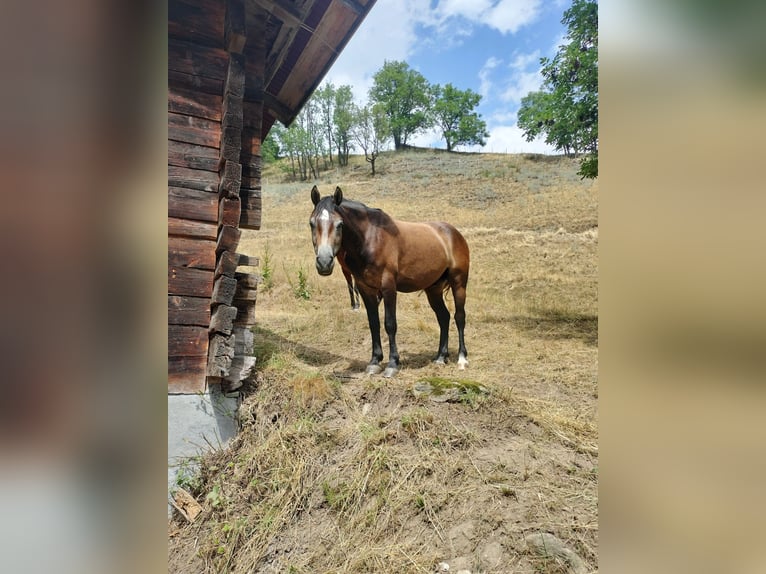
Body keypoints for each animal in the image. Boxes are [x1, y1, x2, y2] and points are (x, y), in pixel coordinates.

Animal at [309, 185, 470, 377]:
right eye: (311, 223)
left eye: (340, 224)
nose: (324, 262)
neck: (370, 238)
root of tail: (453, 233)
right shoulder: (366, 289)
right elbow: (374, 324)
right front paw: (374, 361)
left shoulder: (388, 288)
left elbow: (390, 324)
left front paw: (393, 363)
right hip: (433, 290)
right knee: (443, 317)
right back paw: (440, 357)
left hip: (459, 283)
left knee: (459, 317)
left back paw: (462, 358)